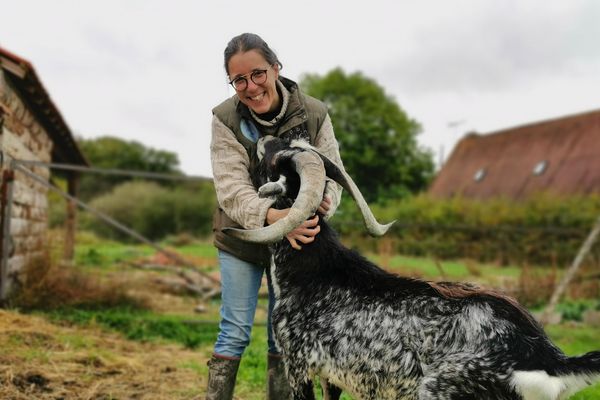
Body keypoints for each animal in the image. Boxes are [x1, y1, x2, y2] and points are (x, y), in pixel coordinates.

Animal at [225, 135, 600, 400]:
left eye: (276, 158)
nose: (264, 137)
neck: (313, 271)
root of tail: (544, 357)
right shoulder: (333, 375)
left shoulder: (299, 365)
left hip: (442, 389)